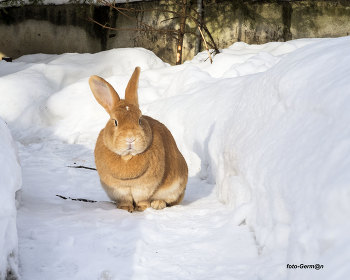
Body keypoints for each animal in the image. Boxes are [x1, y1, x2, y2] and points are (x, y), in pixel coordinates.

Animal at [89, 66, 187, 213]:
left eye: (140, 120)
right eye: (115, 122)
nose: (130, 138)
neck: (127, 157)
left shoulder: (144, 188)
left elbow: (143, 199)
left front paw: (142, 208)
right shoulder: (119, 190)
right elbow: (125, 200)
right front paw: (125, 208)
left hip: (177, 185)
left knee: (170, 200)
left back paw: (157, 204)